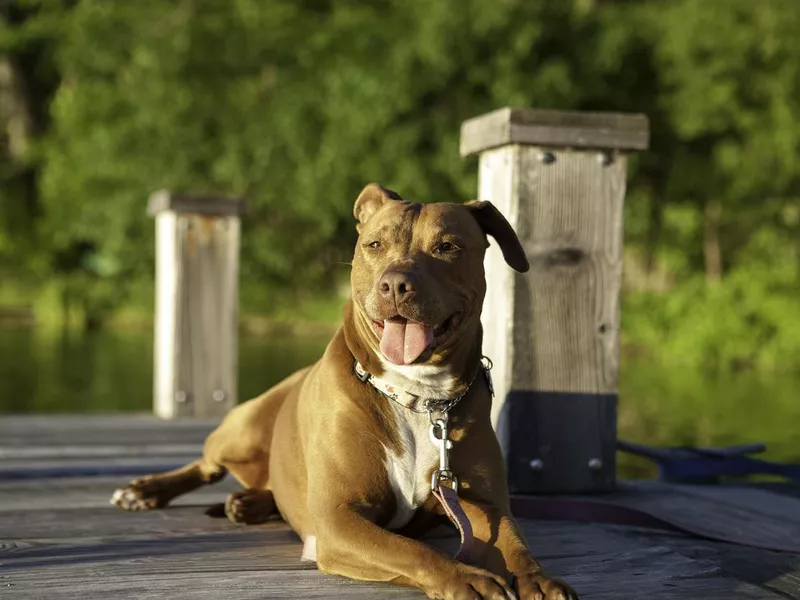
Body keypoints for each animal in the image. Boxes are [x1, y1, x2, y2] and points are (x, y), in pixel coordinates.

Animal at [111, 184, 576, 600]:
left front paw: (539, 579)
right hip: (242, 429)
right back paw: (145, 491)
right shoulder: (338, 522)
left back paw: (250, 502)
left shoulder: (484, 503)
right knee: (206, 465)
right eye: (374, 244)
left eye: (447, 246)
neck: (419, 397)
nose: (395, 284)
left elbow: (515, 544)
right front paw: (467, 578)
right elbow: (412, 550)